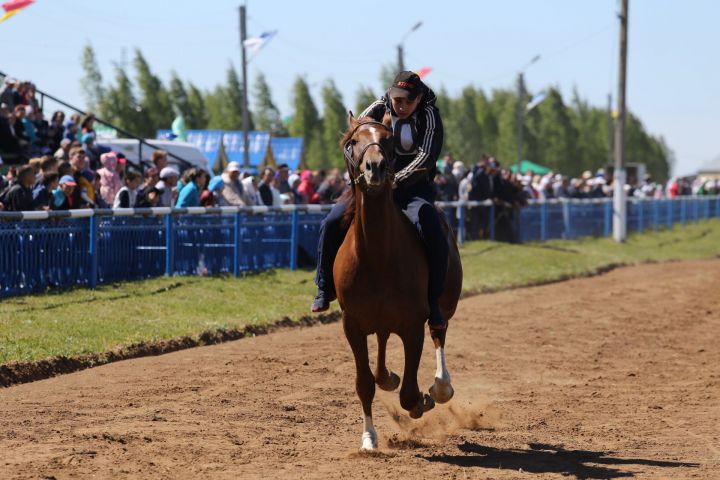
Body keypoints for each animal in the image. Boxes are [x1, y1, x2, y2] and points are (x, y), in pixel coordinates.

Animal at [334, 113, 464, 450]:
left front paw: (421, 401)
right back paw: (387, 376)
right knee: (381, 346)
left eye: (388, 139)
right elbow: (364, 383)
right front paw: (369, 438)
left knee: (439, 332)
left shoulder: (412, 324)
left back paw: (441, 386)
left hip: (443, 304)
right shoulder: (352, 324)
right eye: (354, 141)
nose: (375, 168)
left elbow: (408, 393)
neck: (377, 254)